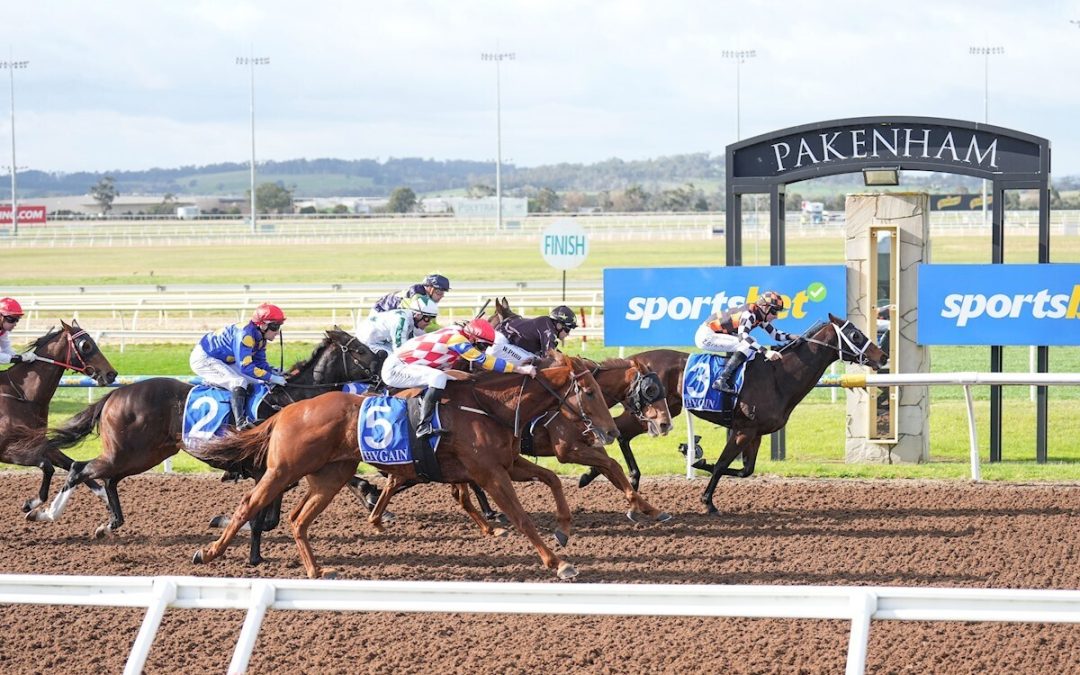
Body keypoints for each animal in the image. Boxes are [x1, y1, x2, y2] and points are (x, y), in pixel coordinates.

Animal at [0, 321, 118, 509]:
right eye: (86, 345)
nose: (111, 374)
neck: (21, 395)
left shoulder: (38, 443)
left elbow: (71, 464)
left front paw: (105, 496)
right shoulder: (6, 451)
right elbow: (48, 466)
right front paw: (31, 503)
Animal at [26, 326, 380, 548]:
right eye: (359, 350)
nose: (382, 368)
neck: (292, 399)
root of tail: (117, 392)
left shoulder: (279, 472)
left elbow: (269, 519)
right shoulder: (268, 471)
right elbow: (264, 519)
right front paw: (223, 521)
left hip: (145, 454)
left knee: (109, 479)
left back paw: (109, 523)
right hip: (127, 451)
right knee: (80, 469)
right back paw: (45, 512)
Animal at [190, 349, 622, 574]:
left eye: (601, 389)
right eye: (588, 391)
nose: (611, 432)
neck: (488, 406)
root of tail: (287, 411)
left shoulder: (508, 464)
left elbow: (553, 479)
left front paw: (564, 529)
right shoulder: (489, 472)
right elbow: (521, 516)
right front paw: (557, 561)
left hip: (331, 475)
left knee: (298, 519)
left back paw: (316, 568)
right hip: (284, 469)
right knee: (250, 505)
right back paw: (209, 552)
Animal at [578, 315, 889, 509]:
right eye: (855, 334)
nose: (883, 356)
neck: (779, 376)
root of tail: (633, 359)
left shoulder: (756, 432)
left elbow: (744, 470)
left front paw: (694, 457)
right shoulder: (743, 429)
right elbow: (722, 465)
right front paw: (707, 500)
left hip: (662, 412)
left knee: (620, 433)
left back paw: (606, 474)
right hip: (650, 411)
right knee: (617, 431)